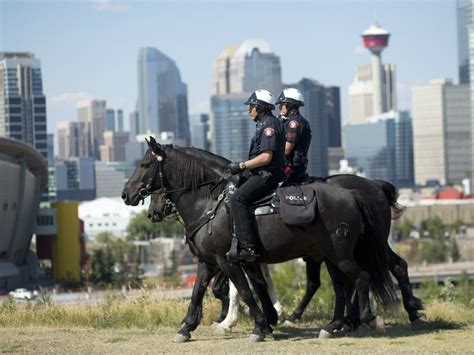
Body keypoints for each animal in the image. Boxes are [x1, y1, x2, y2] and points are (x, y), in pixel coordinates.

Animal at [122, 138, 396, 342]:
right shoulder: (212, 262)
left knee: (362, 278)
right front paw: (187, 328)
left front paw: (257, 325)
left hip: (341, 255)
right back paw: (334, 325)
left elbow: (243, 291)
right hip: (331, 256)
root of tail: (353, 194)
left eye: (145, 164)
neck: (210, 203)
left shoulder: (227, 261)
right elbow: (200, 291)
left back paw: (367, 318)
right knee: (342, 285)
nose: (127, 195)